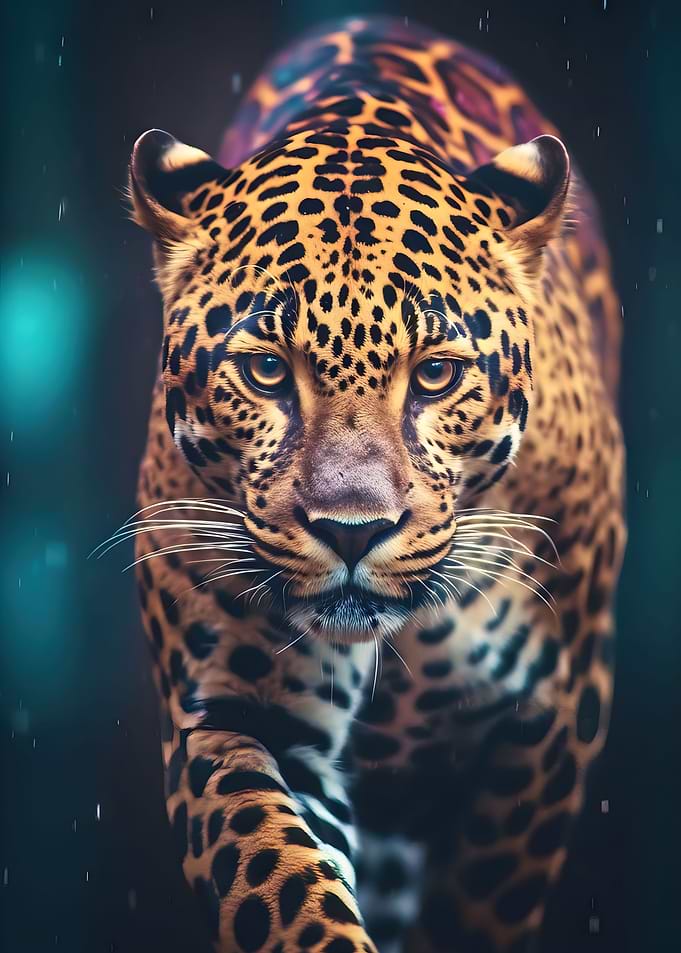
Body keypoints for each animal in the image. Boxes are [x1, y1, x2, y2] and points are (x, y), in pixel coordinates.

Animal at [120, 14, 626, 953]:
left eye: (434, 375)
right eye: (265, 370)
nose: (351, 530)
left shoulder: (551, 717)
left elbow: (482, 905)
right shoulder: (237, 711)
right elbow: (286, 885)